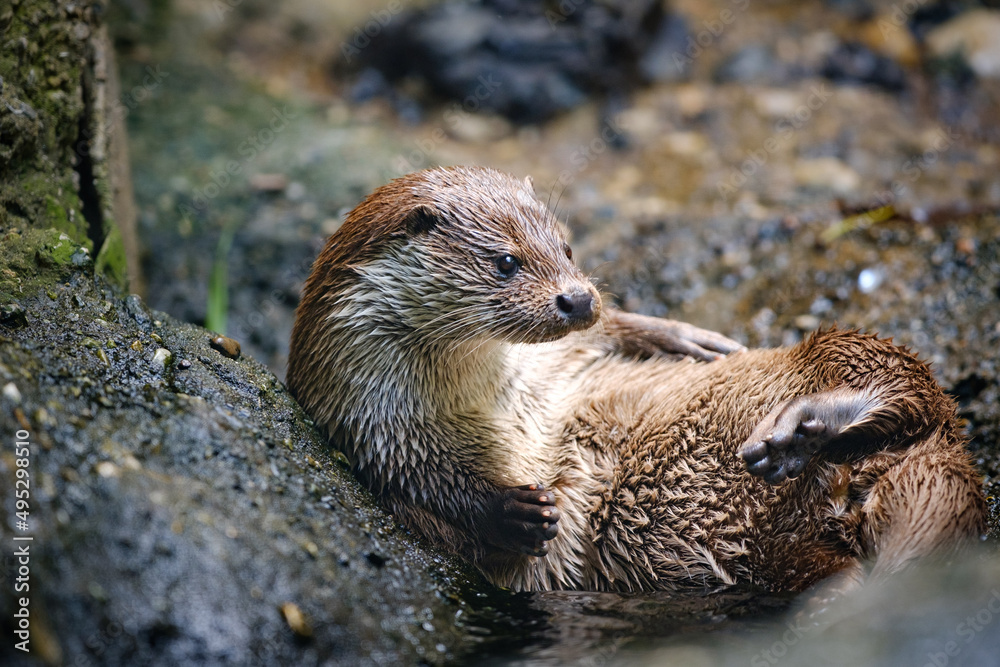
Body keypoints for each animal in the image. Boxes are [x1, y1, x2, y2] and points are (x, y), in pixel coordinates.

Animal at [287, 166, 986, 593]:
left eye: (567, 248)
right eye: (506, 262)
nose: (576, 299)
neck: (503, 395)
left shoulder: (575, 350)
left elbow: (619, 332)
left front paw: (687, 338)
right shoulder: (373, 423)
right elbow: (422, 482)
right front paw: (513, 511)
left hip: (852, 349)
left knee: (906, 387)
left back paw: (801, 430)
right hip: (779, 551)